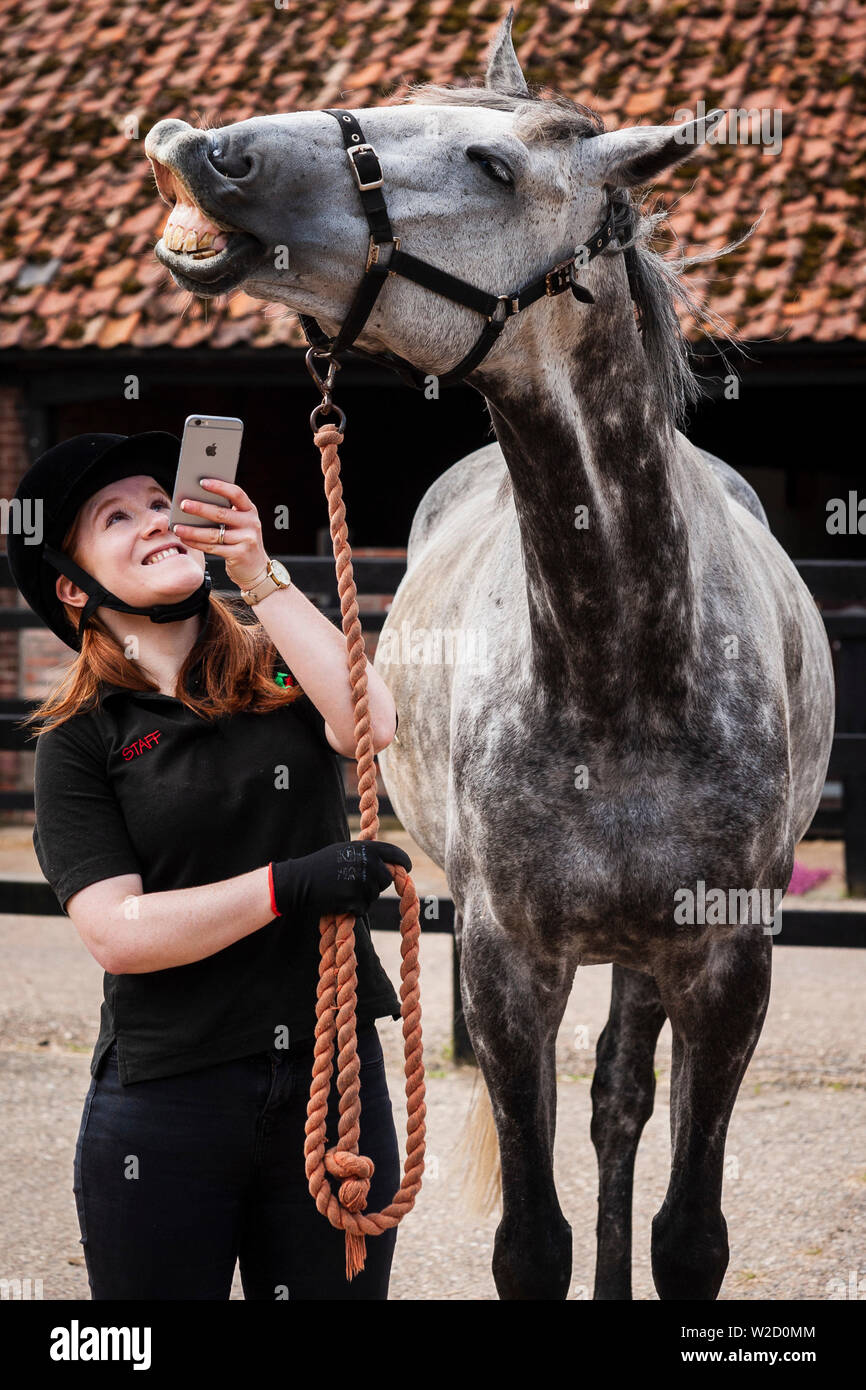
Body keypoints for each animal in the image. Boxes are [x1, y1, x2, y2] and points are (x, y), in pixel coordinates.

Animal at [147, 10, 834, 1295]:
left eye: (493, 165)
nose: (199, 147)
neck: (622, 671)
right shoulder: (507, 966)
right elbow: (530, 1241)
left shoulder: (727, 970)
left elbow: (687, 1233)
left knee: (617, 1104)